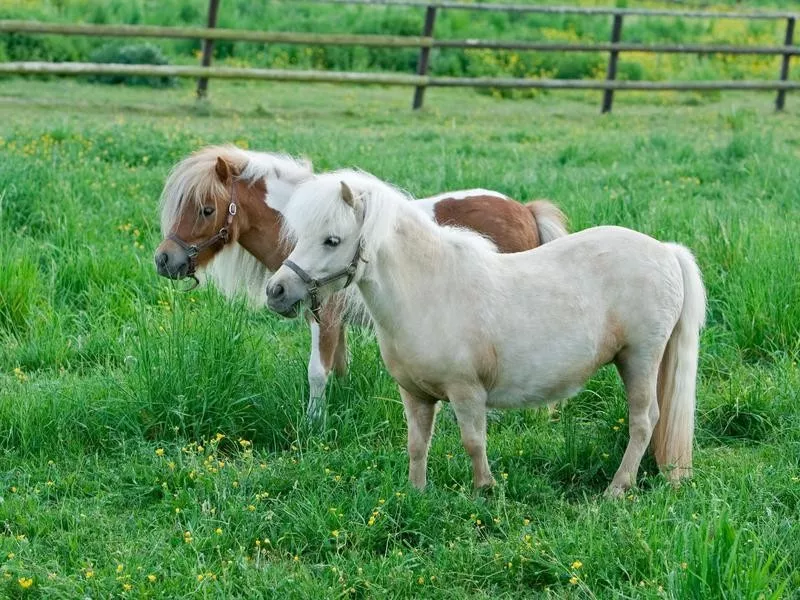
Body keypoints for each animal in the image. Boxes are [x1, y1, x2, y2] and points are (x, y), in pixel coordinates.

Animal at [155, 146, 568, 422]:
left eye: (206, 209)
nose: (164, 261)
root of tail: (526, 210)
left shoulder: (326, 316)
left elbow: (317, 372)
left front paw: (312, 423)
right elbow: (337, 368)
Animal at [268, 170, 708, 496]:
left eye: (332, 240)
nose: (277, 292)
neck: (429, 291)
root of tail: (666, 251)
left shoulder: (467, 393)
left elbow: (473, 441)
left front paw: (485, 490)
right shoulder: (415, 395)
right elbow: (417, 444)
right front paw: (416, 493)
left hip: (640, 358)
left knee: (644, 420)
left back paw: (617, 488)